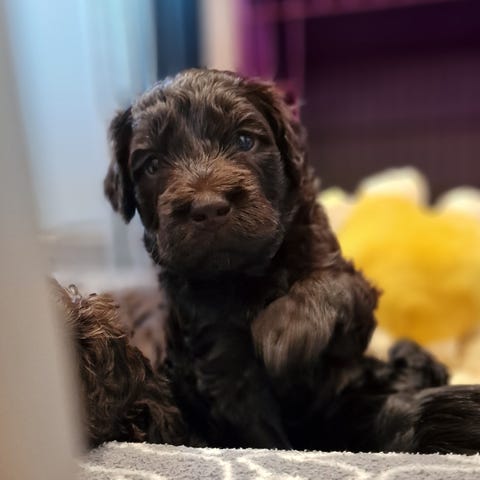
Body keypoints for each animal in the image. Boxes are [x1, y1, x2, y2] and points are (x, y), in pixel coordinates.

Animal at [104, 68, 480, 453]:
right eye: (152, 165)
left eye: (244, 141)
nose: (208, 207)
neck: (248, 276)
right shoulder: (221, 358)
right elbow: (260, 430)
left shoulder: (346, 295)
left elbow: (333, 283)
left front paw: (285, 329)